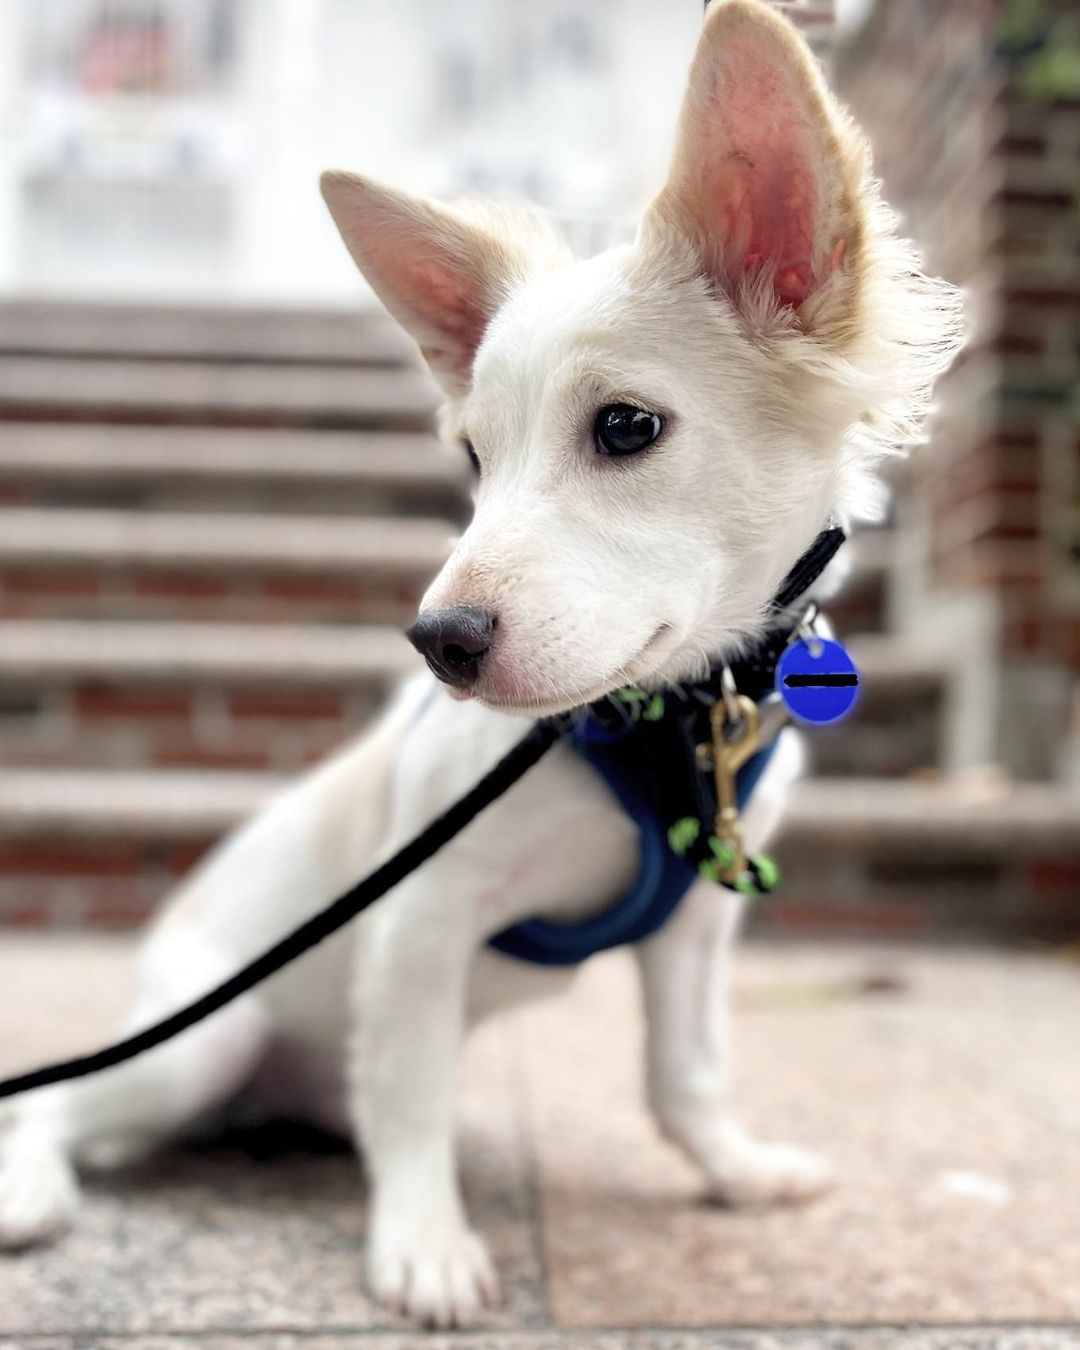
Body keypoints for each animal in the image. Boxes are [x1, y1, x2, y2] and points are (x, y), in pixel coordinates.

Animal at [0, 0, 961, 1328]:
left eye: (626, 427)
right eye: (473, 457)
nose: (437, 645)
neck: (664, 722)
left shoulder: (694, 930)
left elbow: (685, 1074)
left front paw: (734, 1173)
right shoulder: (423, 917)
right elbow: (411, 1101)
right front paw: (423, 1245)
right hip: (199, 1040)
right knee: (58, 1103)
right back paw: (34, 1192)